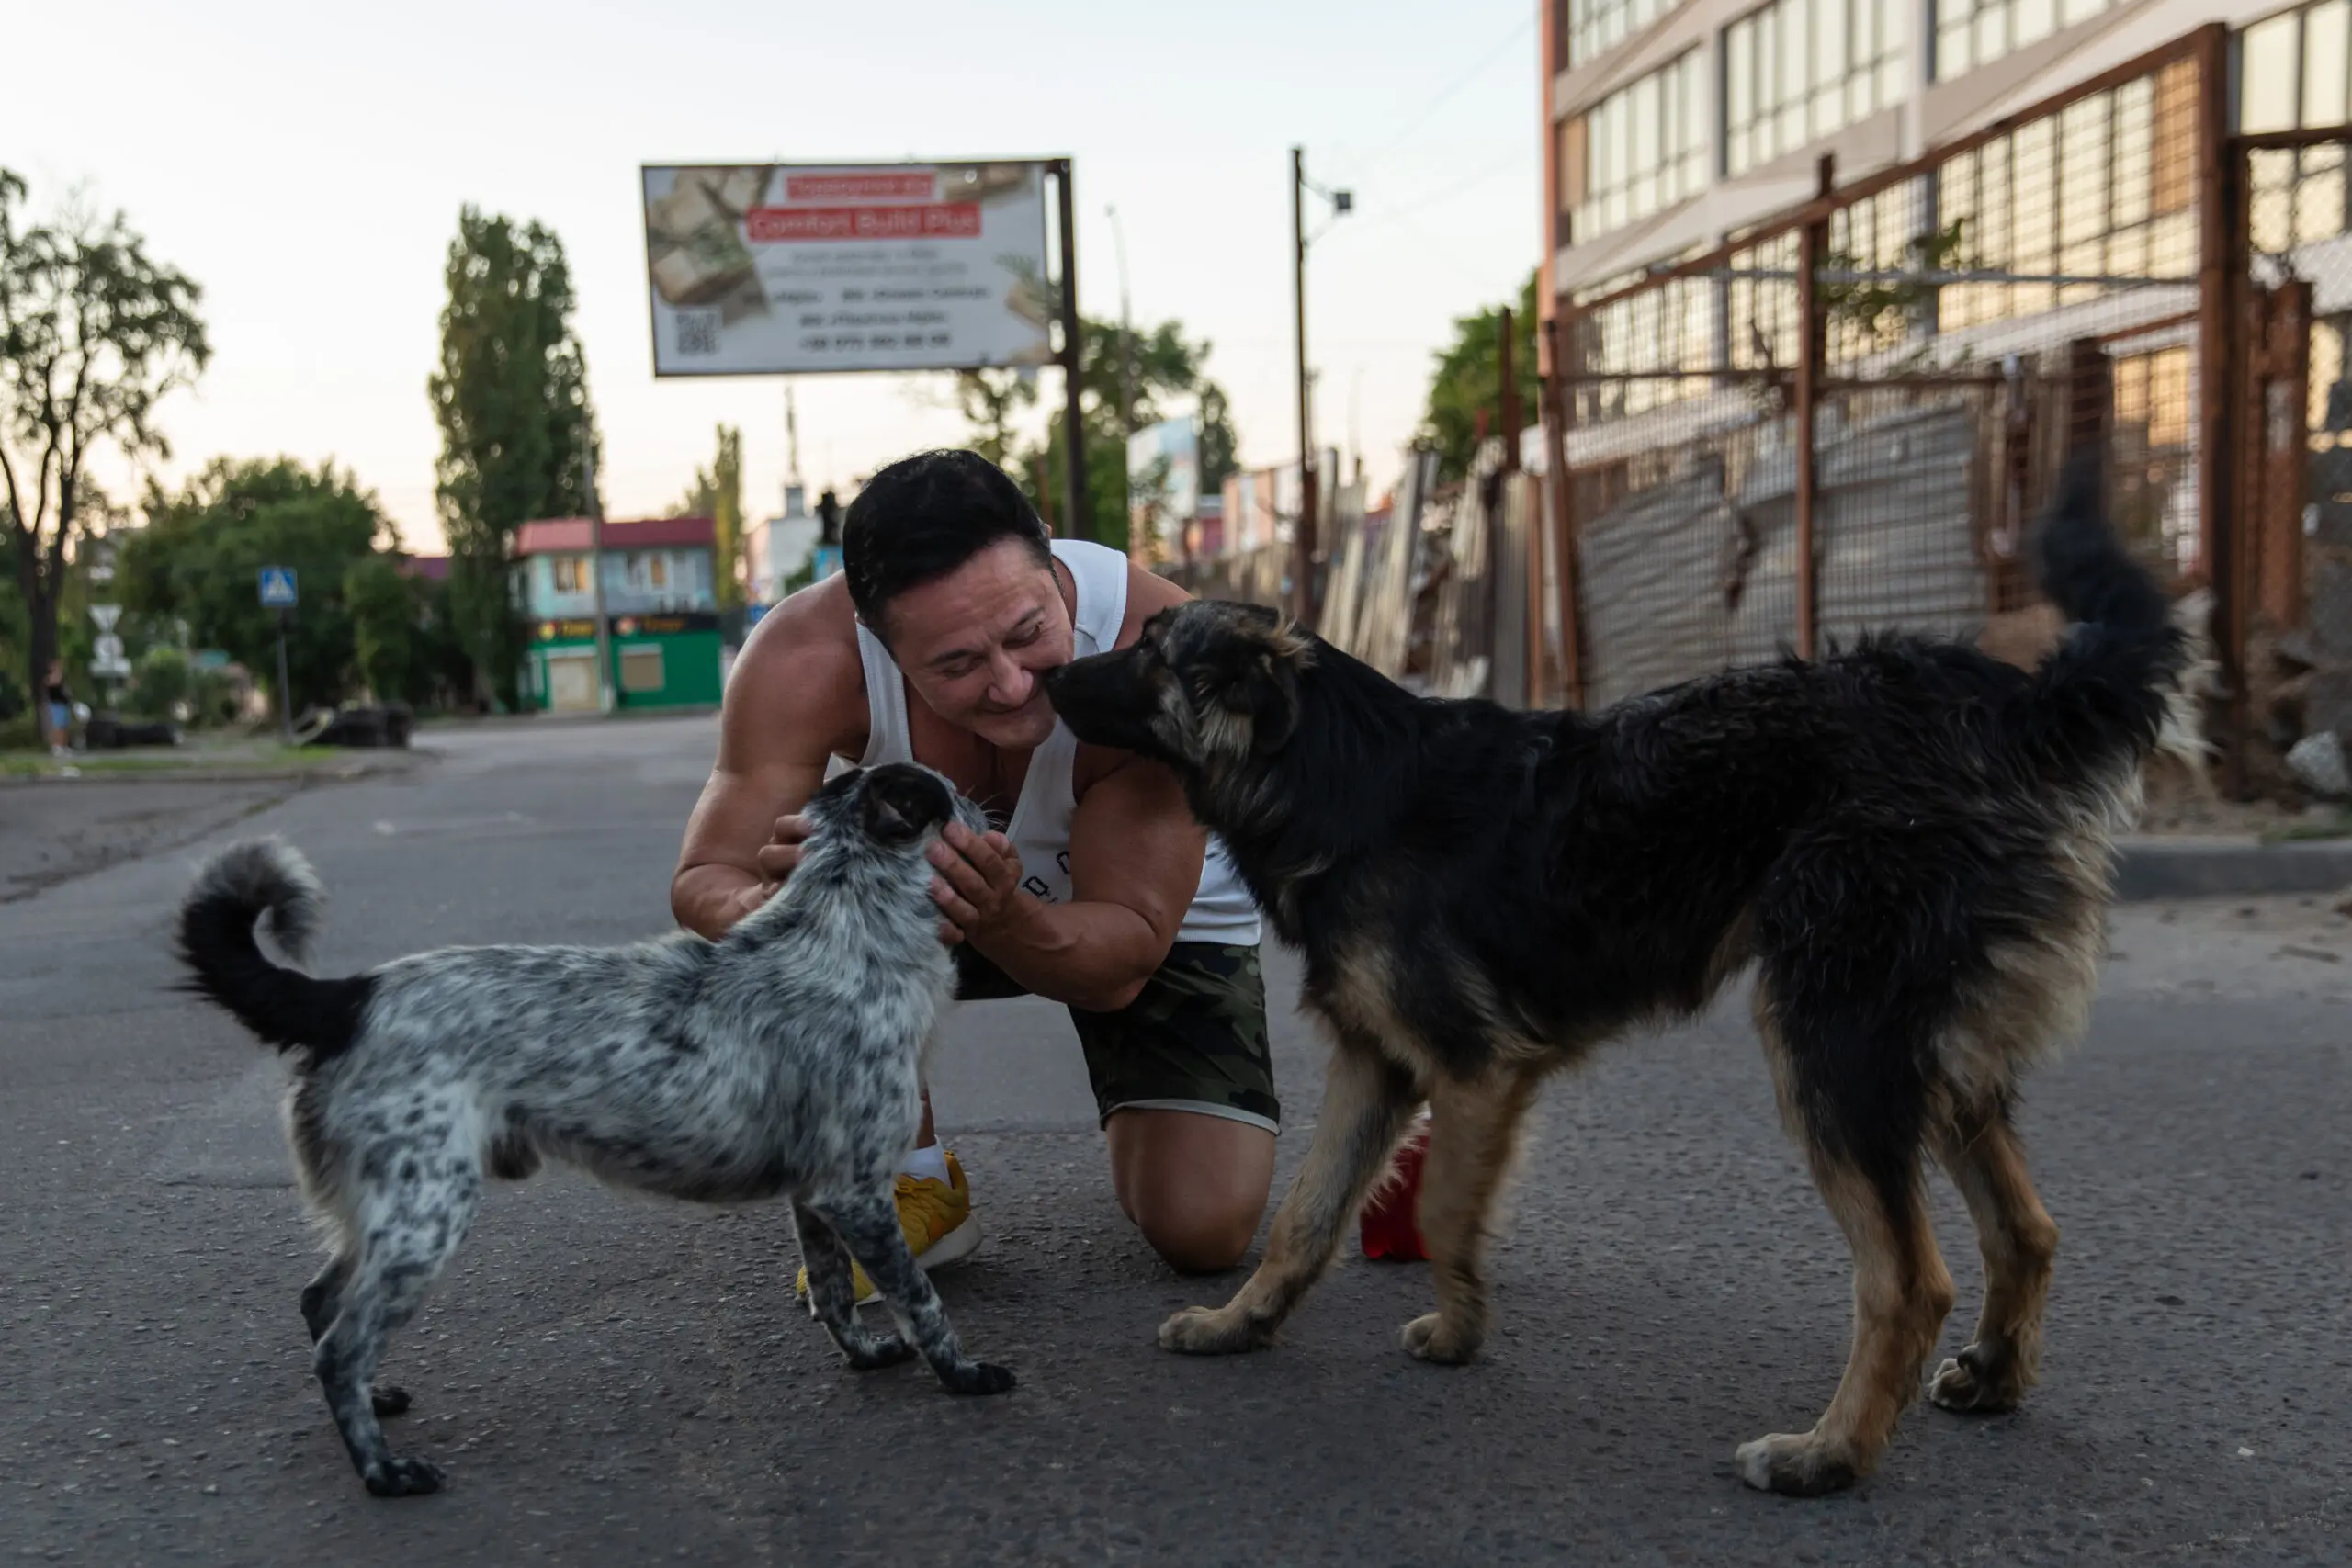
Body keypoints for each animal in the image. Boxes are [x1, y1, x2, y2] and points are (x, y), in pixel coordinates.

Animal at [165, 766, 1011, 1504]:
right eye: (950, 796)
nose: (991, 808)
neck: (845, 933)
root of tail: (347, 998)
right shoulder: (855, 1193)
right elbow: (921, 1299)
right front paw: (964, 1375)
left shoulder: (818, 1196)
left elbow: (835, 1293)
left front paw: (864, 1356)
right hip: (425, 1217)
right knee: (338, 1346)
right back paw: (384, 1472)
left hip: (389, 1213)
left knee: (320, 1305)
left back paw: (376, 1402)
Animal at [1048, 456, 2182, 1495]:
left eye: (1150, 649)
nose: (1049, 671)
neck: (1333, 774)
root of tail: (1991, 707)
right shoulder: (1376, 1063)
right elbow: (1302, 1217)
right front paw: (1242, 1324)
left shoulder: (1473, 1067)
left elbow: (1448, 1205)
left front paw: (1459, 1328)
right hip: (1925, 1057)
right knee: (2026, 1228)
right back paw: (1991, 1377)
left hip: (1833, 1044)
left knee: (1909, 1281)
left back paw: (1828, 1456)